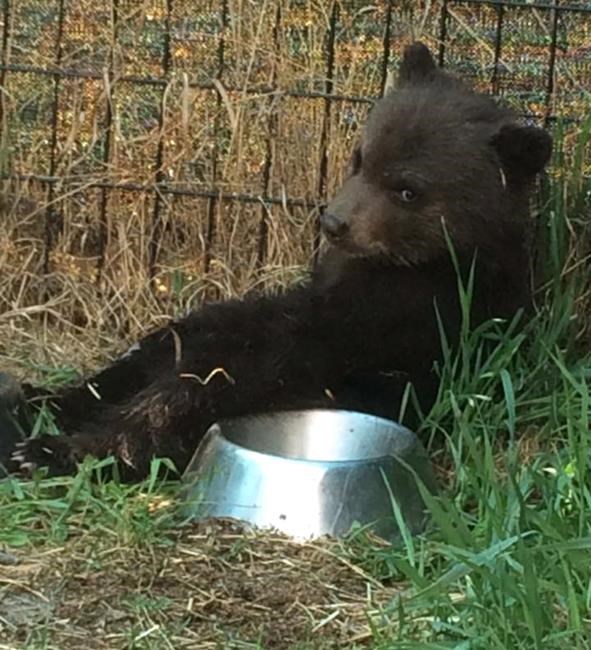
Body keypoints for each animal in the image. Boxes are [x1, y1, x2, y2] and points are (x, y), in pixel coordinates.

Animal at [1, 42, 552, 480]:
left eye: (408, 189)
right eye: (360, 157)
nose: (334, 222)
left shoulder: (410, 311)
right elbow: (215, 324)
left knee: (179, 402)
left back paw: (49, 450)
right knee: (150, 360)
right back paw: (34, 400)